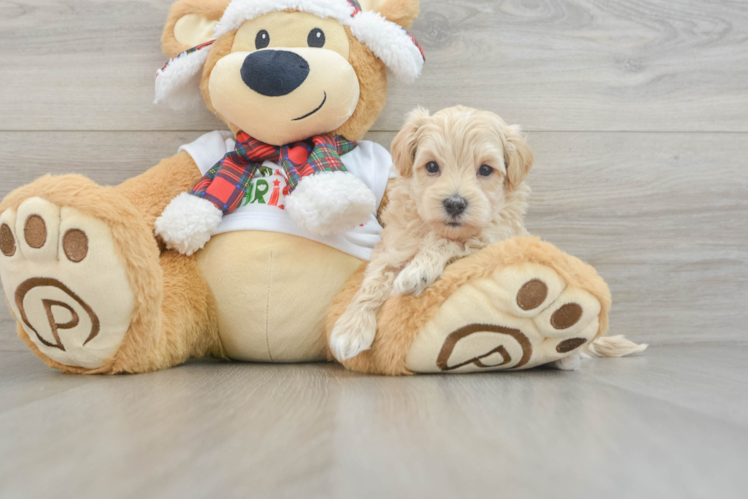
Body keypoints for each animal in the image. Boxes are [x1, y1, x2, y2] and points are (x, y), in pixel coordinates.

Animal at [330, 106, 536, 364]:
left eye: (486, 169)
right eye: (431, 166)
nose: (455, 204)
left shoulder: (494, 237)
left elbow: (447, 242)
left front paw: (417, 272)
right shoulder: (394, 246)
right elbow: (375, 279)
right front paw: (350, 330)